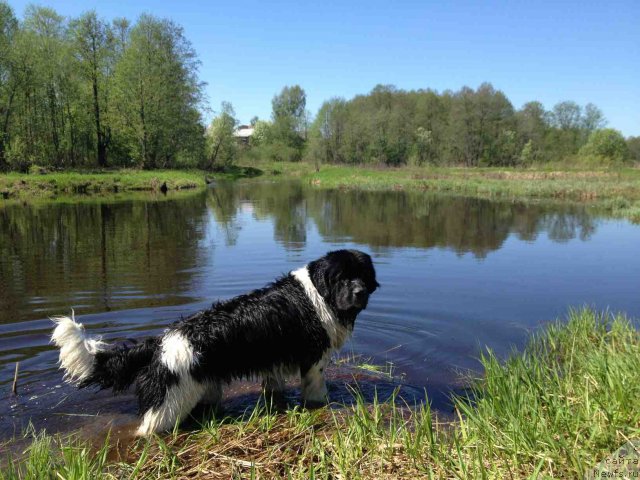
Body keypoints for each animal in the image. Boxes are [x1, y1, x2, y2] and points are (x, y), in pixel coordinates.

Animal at [53, 249, 380, 436]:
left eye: (363, 276)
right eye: (341, 278)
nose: (360, 293)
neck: (318, 294)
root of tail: (160, 341)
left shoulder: (273, 362)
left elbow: (274, 388)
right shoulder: (313, 360)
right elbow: (316, 391)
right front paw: (322, 405)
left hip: (200, 387)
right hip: (169, 402)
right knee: (147, 428)